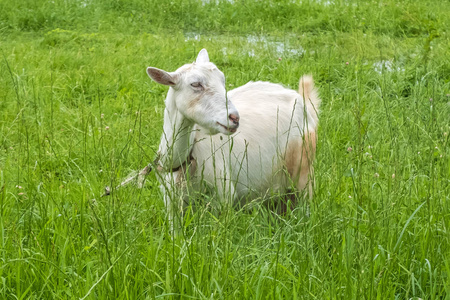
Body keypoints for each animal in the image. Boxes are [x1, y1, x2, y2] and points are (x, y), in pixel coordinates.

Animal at [107, 48, 320, 225]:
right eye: (195, 84)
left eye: (223, 80)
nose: (234, 118)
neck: (186, 157)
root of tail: (301, 100)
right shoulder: (173, 205)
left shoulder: (223, 196)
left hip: (303, 173)